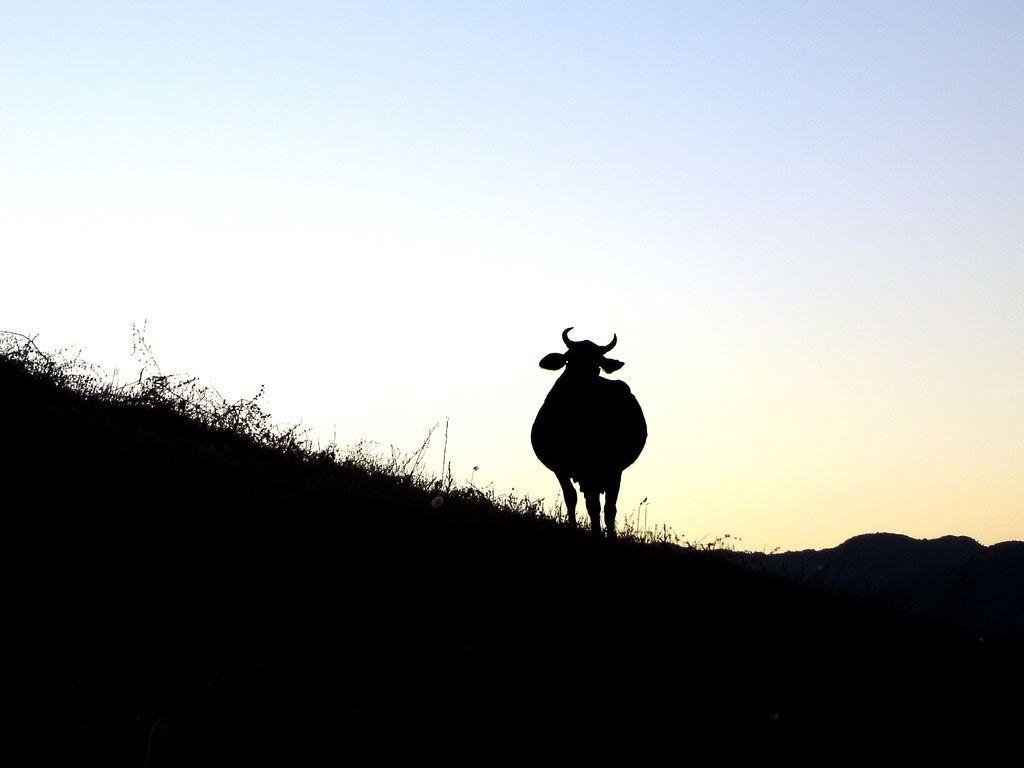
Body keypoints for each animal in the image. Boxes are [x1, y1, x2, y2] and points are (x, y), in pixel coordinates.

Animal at [531, 328, 647, 539]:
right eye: (568, 360)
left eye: (597, 364)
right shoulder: (561, 468)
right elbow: (573, 499)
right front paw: (575, 529)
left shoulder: (612, 468)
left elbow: (607, 508)